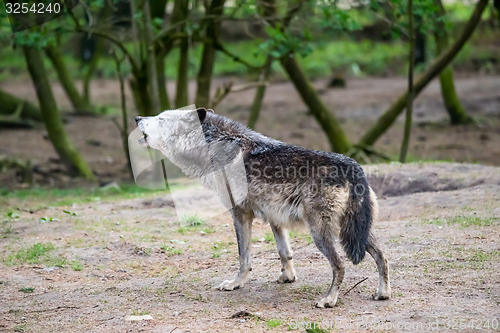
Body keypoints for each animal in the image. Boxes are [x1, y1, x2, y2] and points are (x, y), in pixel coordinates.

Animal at [137, 107, 390, 308]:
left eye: (160, 118)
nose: (137, 117)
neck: (215, 146)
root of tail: (353, 167)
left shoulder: (240, 214)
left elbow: (244, 257)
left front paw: (235, 284)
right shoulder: (274, 217)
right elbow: (284, 252)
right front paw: (287, 278)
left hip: (322, 233)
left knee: (339, 264)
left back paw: (329, 300)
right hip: (356, 232)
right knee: (382, 255)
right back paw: (383, 293)